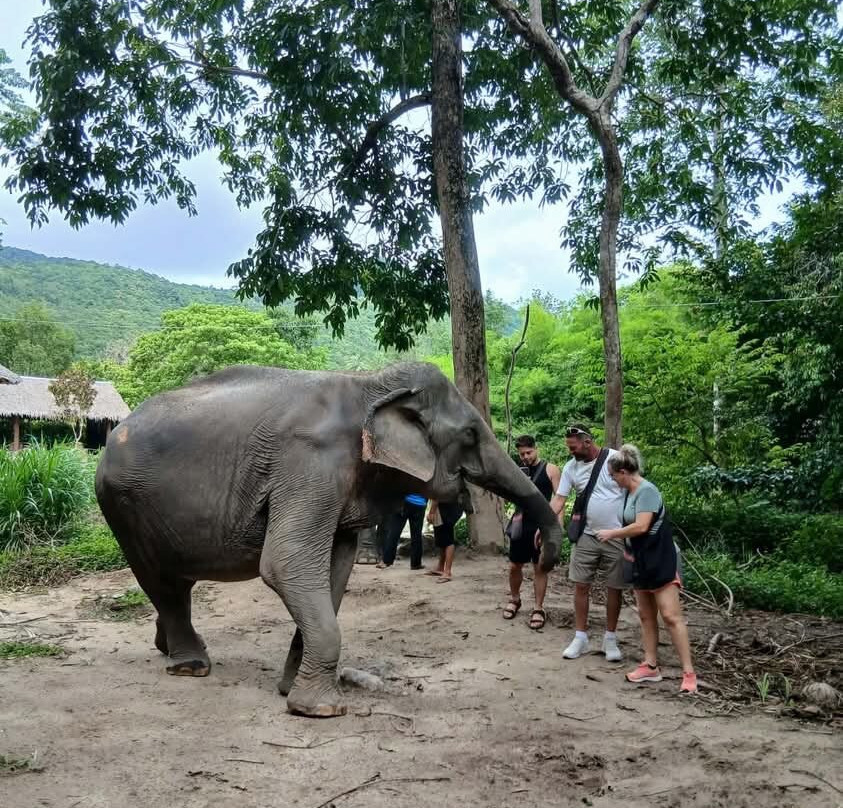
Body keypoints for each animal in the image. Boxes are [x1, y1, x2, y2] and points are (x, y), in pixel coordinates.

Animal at [95, 362, 562, 717]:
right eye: (469, 434)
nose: (547, 556)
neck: (369, 382)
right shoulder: (310, 465)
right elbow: (286, 562)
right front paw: (321, 709)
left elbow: (336, 568)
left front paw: (290, 690)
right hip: (123, 504)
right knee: (161, 580)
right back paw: (191, 666)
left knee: (177, 582)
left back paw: (170, 648)